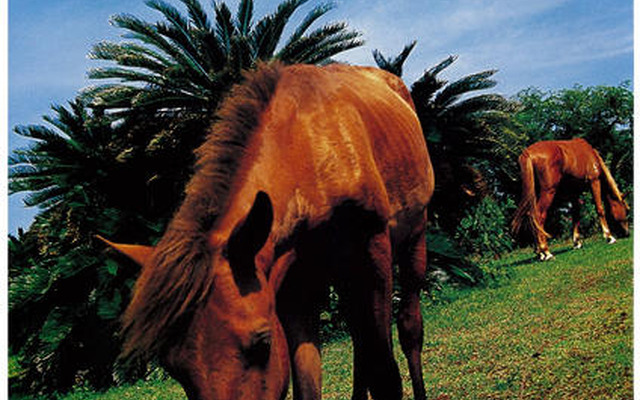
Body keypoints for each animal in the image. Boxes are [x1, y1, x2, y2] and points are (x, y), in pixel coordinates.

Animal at [100, 62, 436, 400]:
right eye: (172, 366)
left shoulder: (372, 252)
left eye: (262, 344)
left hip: (413, 238)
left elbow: (385, 375)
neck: (310, 148)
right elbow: (309, 384)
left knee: (408, 327)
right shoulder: (293, 283)